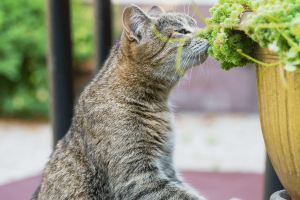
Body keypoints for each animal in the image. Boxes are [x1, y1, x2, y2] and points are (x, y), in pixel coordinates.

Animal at [32, 4, 211, 200]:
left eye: (195, 25)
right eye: (182, 31)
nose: (209, 32)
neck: (157, 103)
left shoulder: (167, 167)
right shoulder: (136, 178)